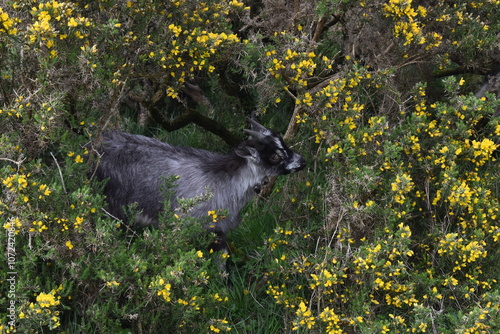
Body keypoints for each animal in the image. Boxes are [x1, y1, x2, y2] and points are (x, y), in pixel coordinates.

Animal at [93, 120, 304, 245]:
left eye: (284, 143)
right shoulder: (185, 227)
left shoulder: (218, 231)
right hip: (113, 209)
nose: (302, 161)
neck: (226, 182)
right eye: (275, 156)